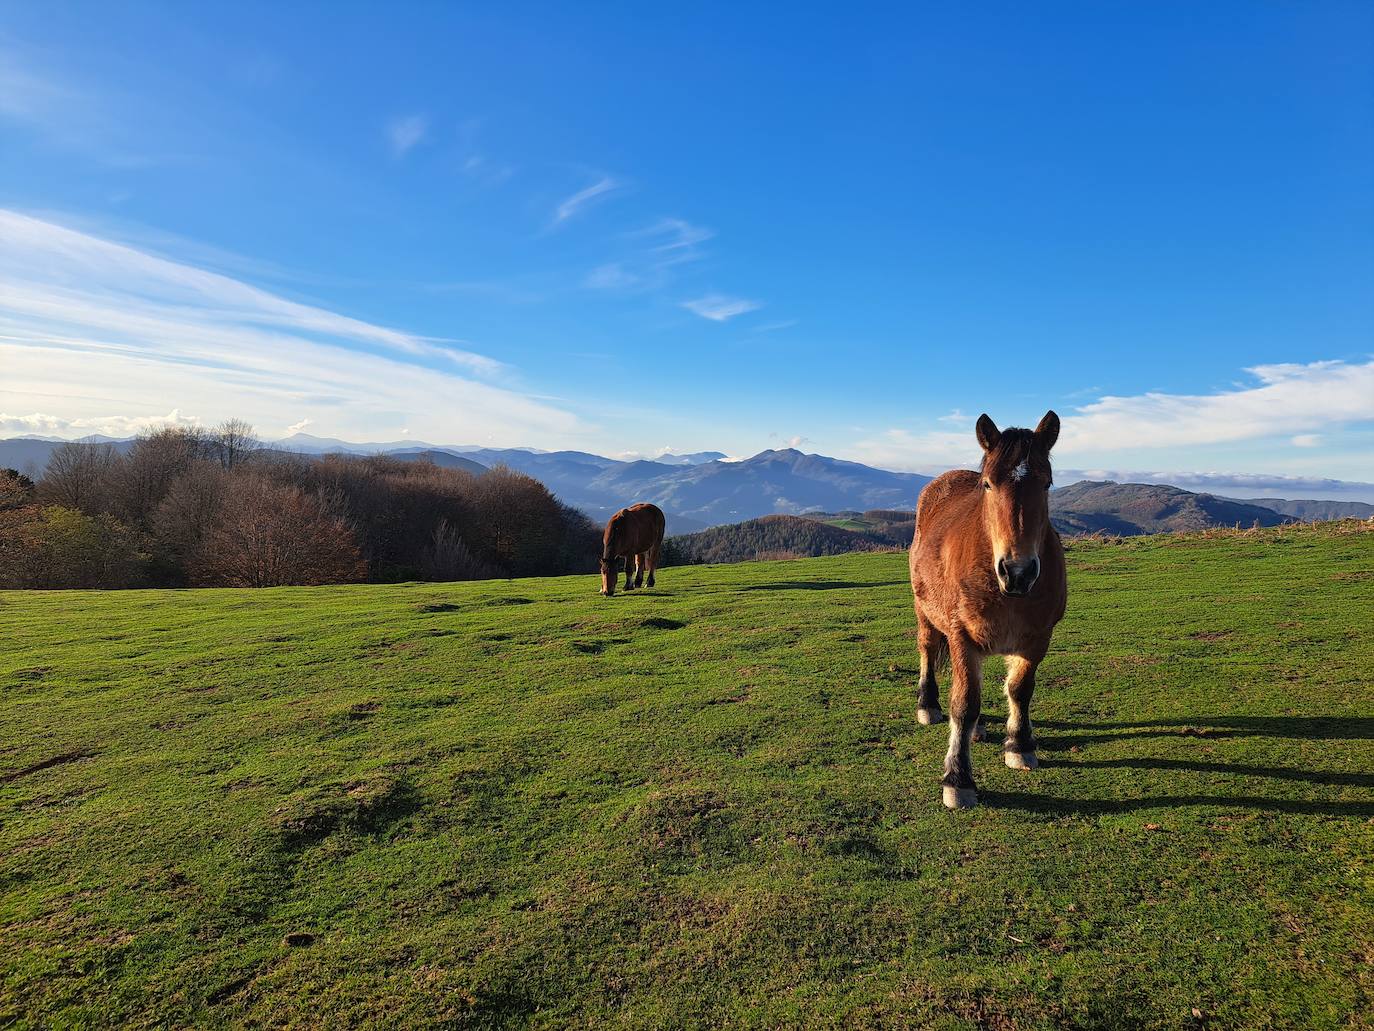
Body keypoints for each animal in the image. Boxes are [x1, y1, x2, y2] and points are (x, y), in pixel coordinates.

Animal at [912, 415, 1071, 813]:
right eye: (988, 484)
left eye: (1046, 483)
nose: (1018, 571)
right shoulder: (961, 635)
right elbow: (964, 703)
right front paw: (958, 780)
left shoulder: (1037, 637)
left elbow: (1019, 689)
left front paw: (1020, 746)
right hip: (926, 613)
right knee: (927, 650)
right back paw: (928, 705)